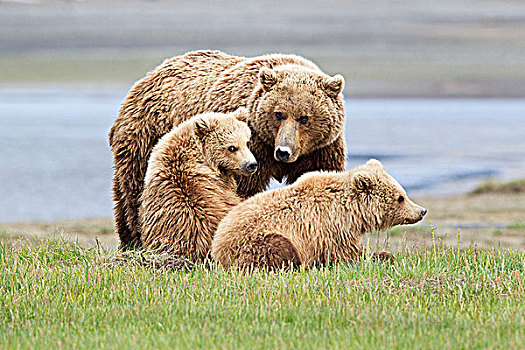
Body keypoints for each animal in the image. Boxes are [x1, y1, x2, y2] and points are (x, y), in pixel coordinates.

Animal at [211, 160, 428, 270]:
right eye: (400, 197)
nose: (421, 211)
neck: (350, 212)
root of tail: (217, 247)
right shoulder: (329, 229)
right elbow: (348, 255)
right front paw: (383, 255)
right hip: (255, 242)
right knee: (280, 250)